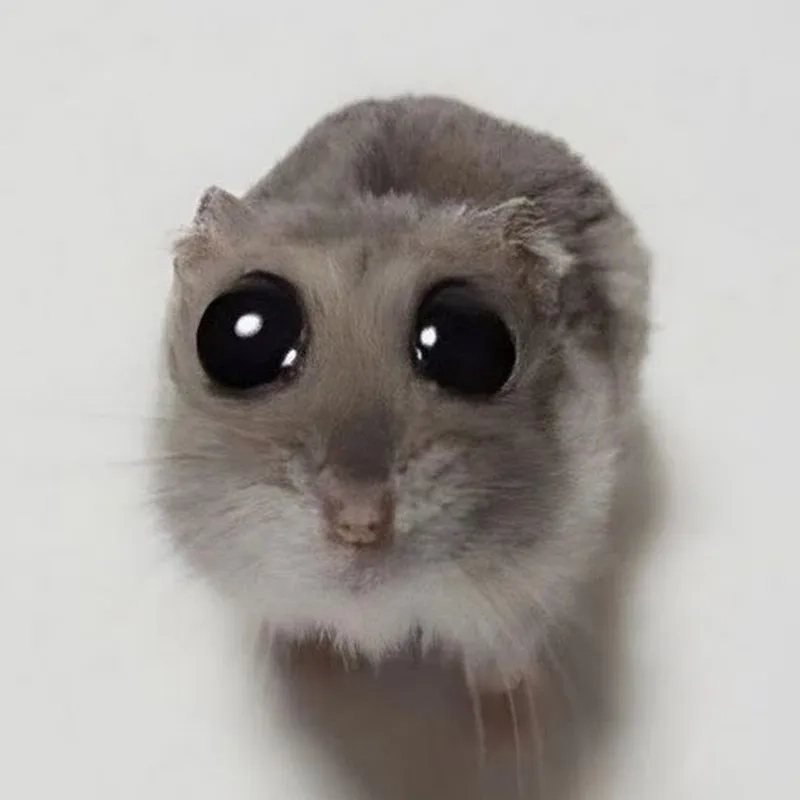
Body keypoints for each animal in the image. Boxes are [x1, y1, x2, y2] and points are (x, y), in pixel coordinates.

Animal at [155, 96, 650, 692]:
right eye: (240, 334)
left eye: (469, 342)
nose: (359, 521)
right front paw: (313, 672)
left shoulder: (534, 588)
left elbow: (501, 664)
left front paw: (514, 704)